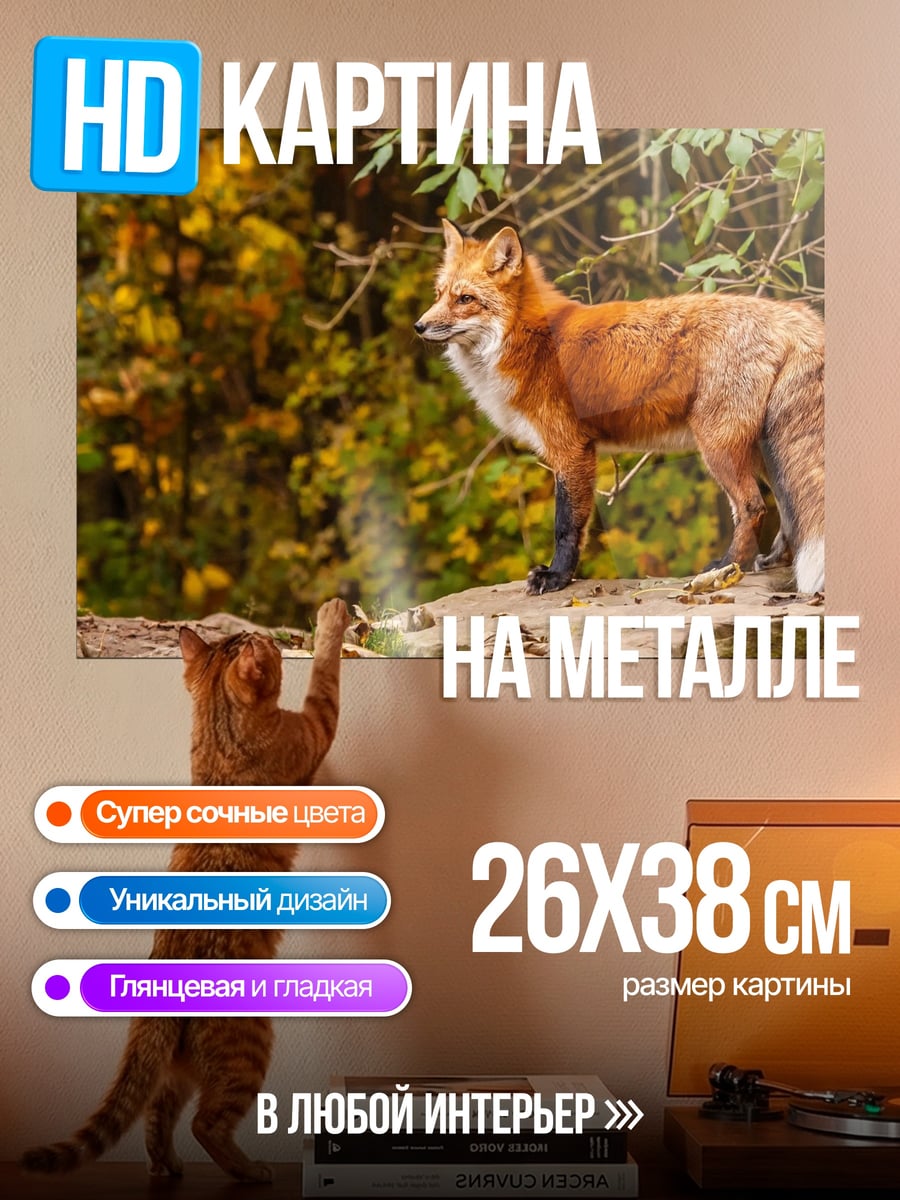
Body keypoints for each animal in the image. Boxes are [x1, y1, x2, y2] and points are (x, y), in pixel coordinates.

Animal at [415, 219, 824, 596]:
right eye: (439, 294)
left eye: (465, 299)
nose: (419, 326)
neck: (528, 339)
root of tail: (792, 314)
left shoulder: (571, 450)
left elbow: (567, 525)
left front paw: (556, 577)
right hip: (762, 450)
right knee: (788, 511)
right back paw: (771, 561)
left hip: (718, 446)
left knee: (754, 506)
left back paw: (725, 568)